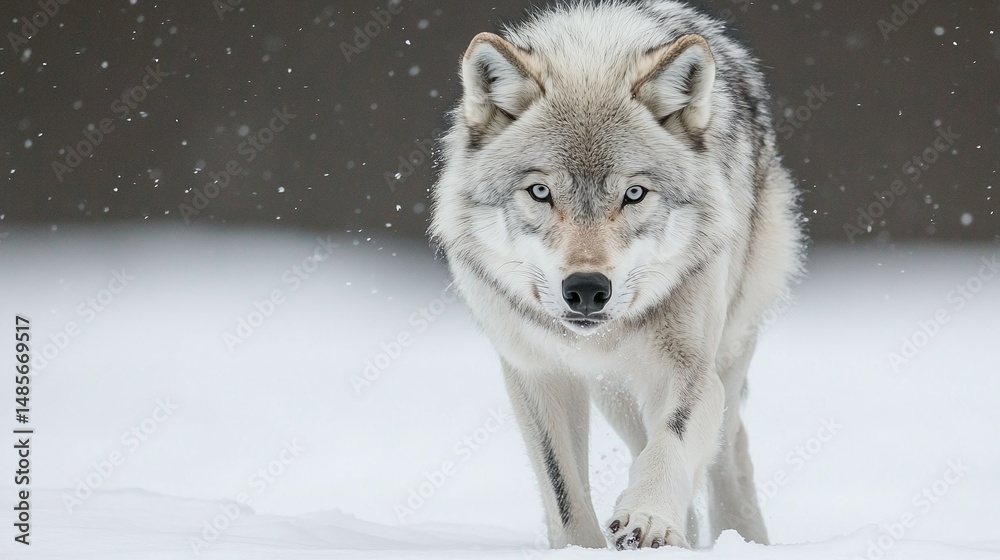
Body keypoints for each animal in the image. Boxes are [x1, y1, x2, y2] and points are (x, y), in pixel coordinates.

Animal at [430, 0, 803, 550]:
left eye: (633, 194)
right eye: (541, 192)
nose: (586, 290)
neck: (592, 53)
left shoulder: (690, 369)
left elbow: (671, 442)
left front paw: (647, 518)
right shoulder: (537, 372)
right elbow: (562, 490)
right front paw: (582, 548)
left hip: (725, 354)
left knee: (727, 451)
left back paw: (738, 538)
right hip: (616, 394)